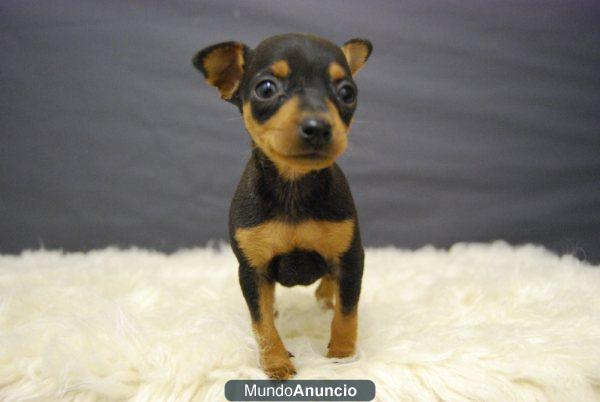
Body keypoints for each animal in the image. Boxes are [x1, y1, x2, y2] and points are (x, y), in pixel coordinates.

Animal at [192, 33, 370, 378]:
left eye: (347, 93)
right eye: (266, 89)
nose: (318, 127)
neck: (293, 184)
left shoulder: (351, 257)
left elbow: (347, 311)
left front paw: (341, 356)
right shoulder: (252, 271)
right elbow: (261, 323)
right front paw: (275, 364)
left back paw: (325, 296)